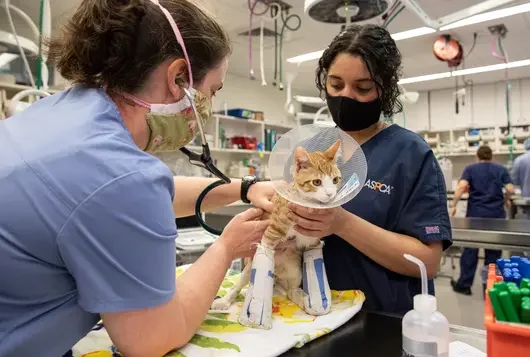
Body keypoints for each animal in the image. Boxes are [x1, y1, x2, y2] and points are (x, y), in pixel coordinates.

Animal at [211, 139, 342, 314]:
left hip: (295, 269)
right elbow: (265, 245)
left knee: (291, 291)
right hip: (249, 267)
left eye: (335, 180)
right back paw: (225, 301)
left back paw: (306, 302)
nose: (330, 194)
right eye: (317, 182)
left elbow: (313, 247)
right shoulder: (272, 231)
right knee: (239, 285)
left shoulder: (311, 240)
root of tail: (277, 275)